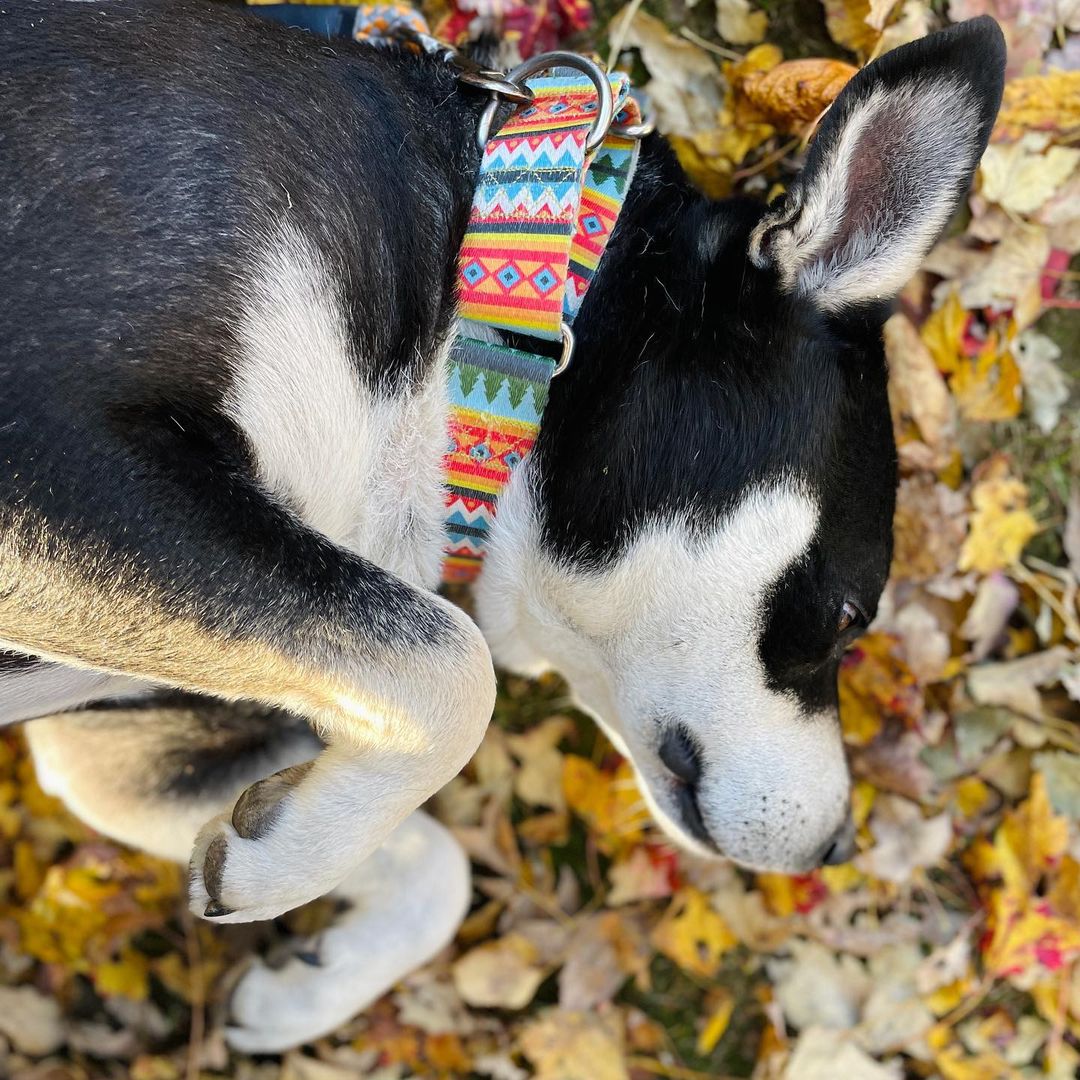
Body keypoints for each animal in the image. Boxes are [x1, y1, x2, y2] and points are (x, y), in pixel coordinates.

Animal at [4, 0, 1006, 1045]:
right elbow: (456, 667)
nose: (837, 848)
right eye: (850, 619)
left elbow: (433, 867)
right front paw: (292, 870)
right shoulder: (56, 453)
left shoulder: (128, 748)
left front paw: (298, 939)